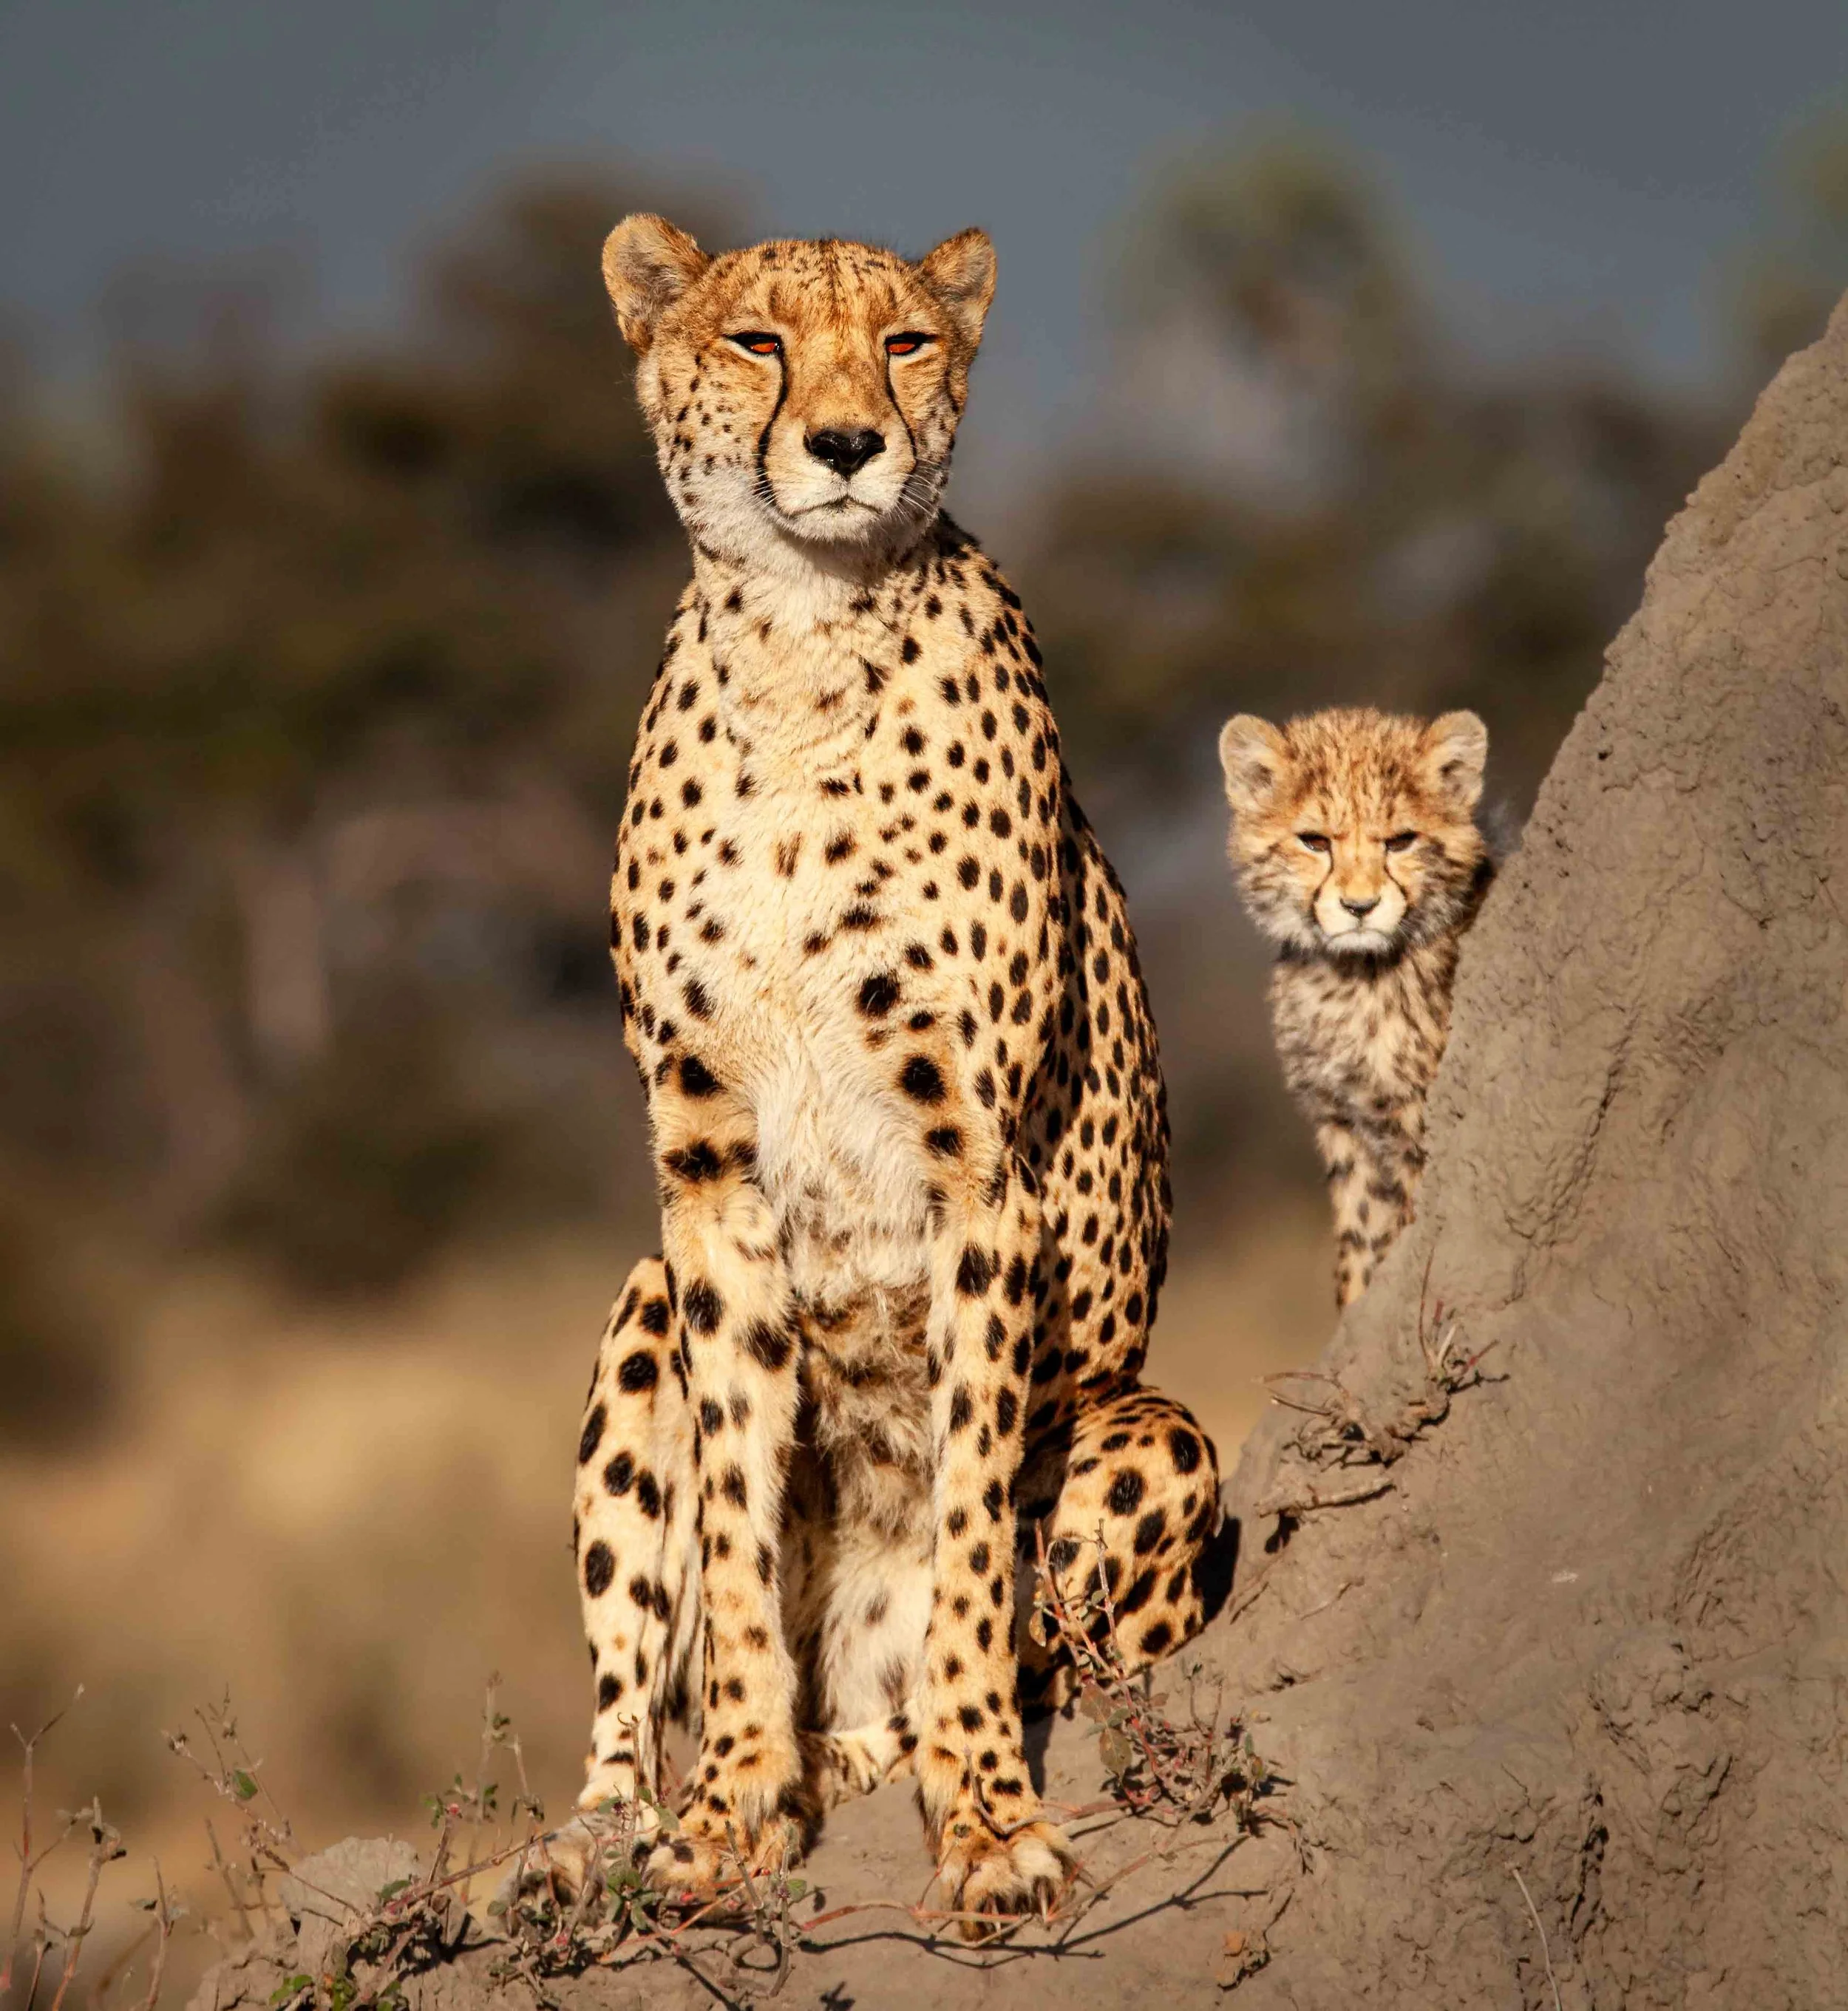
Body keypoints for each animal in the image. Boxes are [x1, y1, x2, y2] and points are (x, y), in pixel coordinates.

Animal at [545, 214, 1223, 1931]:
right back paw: (596, 1842)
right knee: (628, 1692)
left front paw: (985, 1822)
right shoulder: (707, 1183)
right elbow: (727, 1537)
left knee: (1047, 1641)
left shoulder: (978, 1176)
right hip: (639, 1305)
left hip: (1153, 1434)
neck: (803, 634)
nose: (849, 445)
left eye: (908, 342)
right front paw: (727, 1812)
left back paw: (897, 1744)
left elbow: (975, 1533)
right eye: (759, 341)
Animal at [1219, 705, 1494, 1310]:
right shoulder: (1343, 1121)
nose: (1360, 906)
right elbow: (1359, 1239)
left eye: (1401, 841)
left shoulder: (1414, 1123)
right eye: (1315, 841)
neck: (1350, 974)